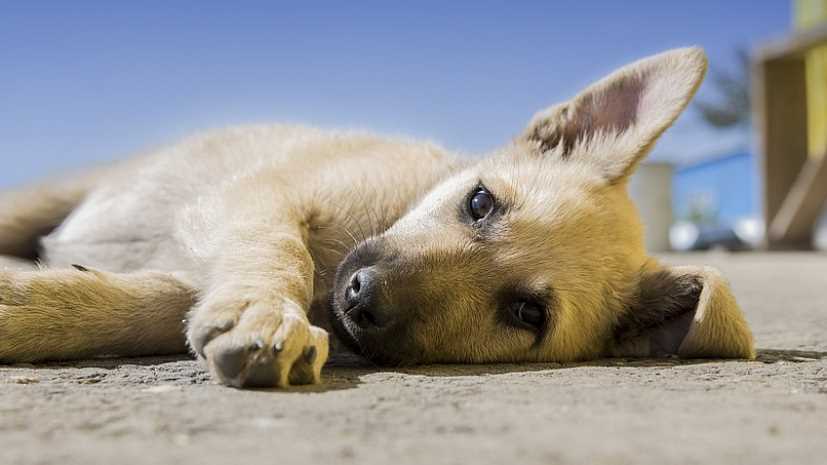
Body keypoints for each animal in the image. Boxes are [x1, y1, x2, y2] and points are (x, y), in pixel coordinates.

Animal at [0, 48, 756, 388]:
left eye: (526, 314)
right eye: (480, 202)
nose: (361, 297)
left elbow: (147, 301)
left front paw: (32, 305)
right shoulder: (256, 194)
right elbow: (277, 248)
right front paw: (264, 312)